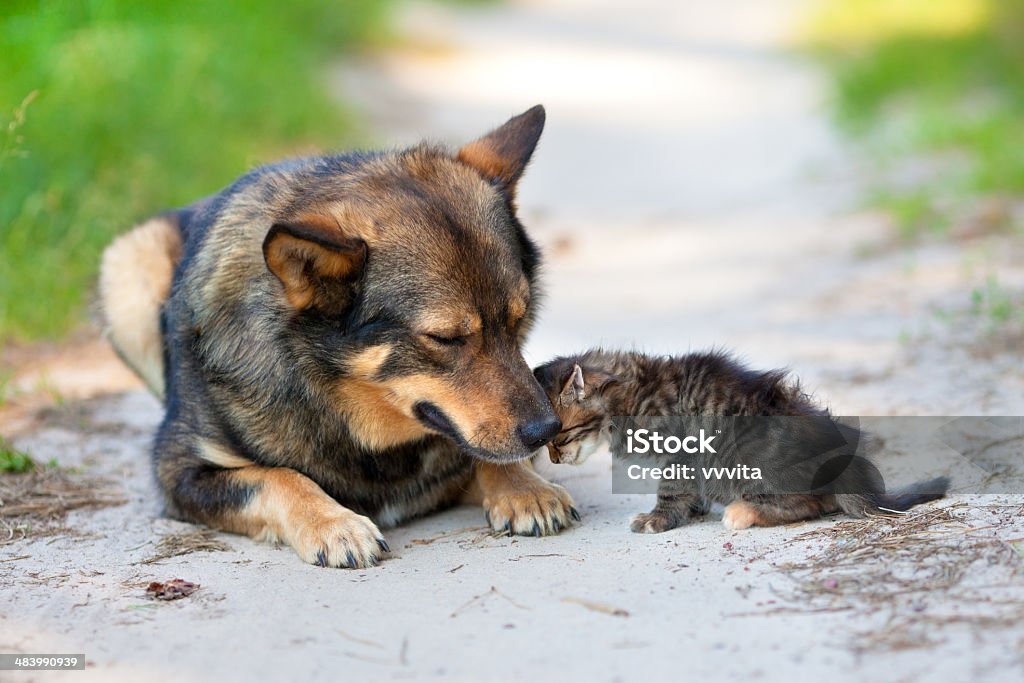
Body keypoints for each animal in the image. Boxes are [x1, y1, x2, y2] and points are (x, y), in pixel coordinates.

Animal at [99, 105, 581, 565]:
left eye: (518, 319)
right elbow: (278, 477)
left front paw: (524, 488)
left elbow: (483, 455)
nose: (547, 430)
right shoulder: (180, 472)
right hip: (129, 263)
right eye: (445, 339)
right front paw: (333, 524)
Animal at [532, 352, 946, 532]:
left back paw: (742, 512)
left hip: (747, 463)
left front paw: (658, 519)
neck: (632, 392)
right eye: (545, 443)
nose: (554, 461)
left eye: (560, 437)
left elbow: (670, 491)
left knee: (808, 505)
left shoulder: (680, 450)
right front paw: (693, 510)